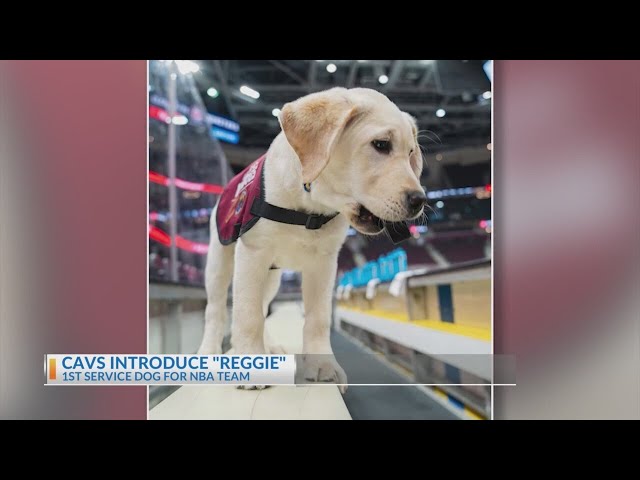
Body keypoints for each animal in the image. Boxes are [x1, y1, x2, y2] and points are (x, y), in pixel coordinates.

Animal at [195, 88, 424, 392]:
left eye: (411, 153)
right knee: (216, 309)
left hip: (271, 277)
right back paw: (208, 352)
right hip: (220, 263)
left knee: (262, 305)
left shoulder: (324, 263)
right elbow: (246, 314)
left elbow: (317, 318)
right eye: (381, 144)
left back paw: (269, 349)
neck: (309, 205)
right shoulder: (253, 253)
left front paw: (323, 366)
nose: (420, 200)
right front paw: (250, 365)